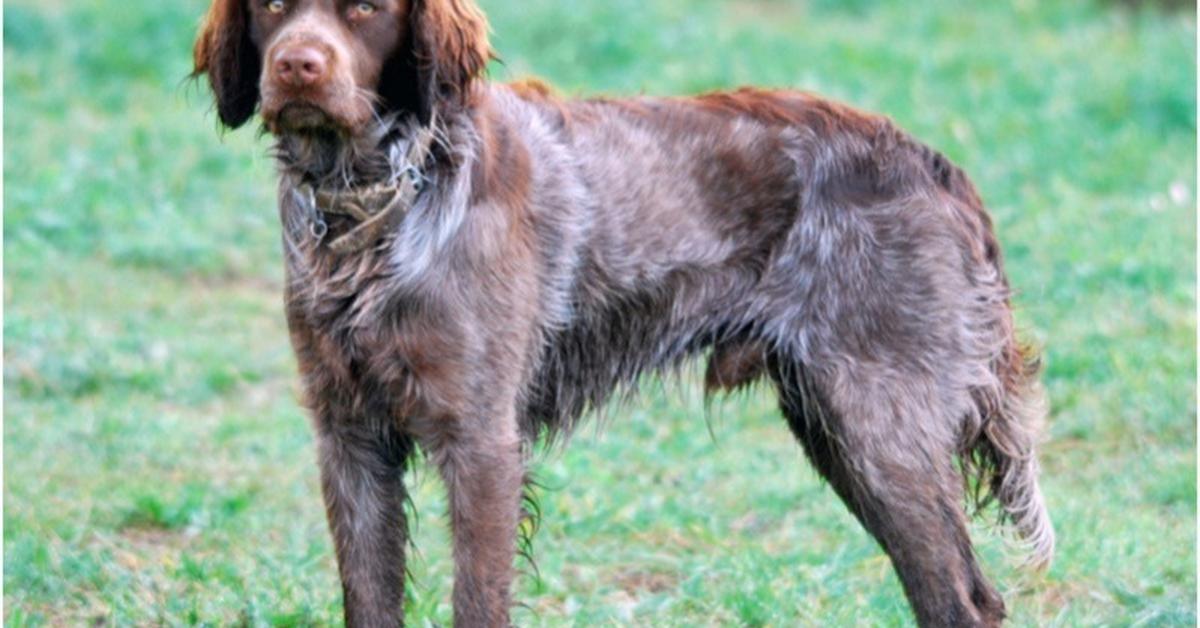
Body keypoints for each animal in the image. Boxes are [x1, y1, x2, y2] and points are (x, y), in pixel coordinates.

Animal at [189, 2, 1051, 624]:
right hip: (839, 430)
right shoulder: (352, 440)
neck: (371, 209)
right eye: (272, 5)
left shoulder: (481, 443)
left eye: (367, 9)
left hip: (880, 428)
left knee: (963, 599)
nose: (298, 66)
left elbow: (477, 599)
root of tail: (936, 166)